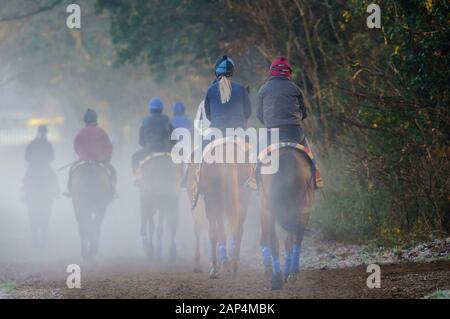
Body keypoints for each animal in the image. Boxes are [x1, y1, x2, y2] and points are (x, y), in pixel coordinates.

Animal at [258, 149, 314, 292]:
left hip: (269, 210)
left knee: (275, 241)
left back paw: (277, 277)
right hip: (302, 209)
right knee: (296, 239)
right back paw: (291, 274)